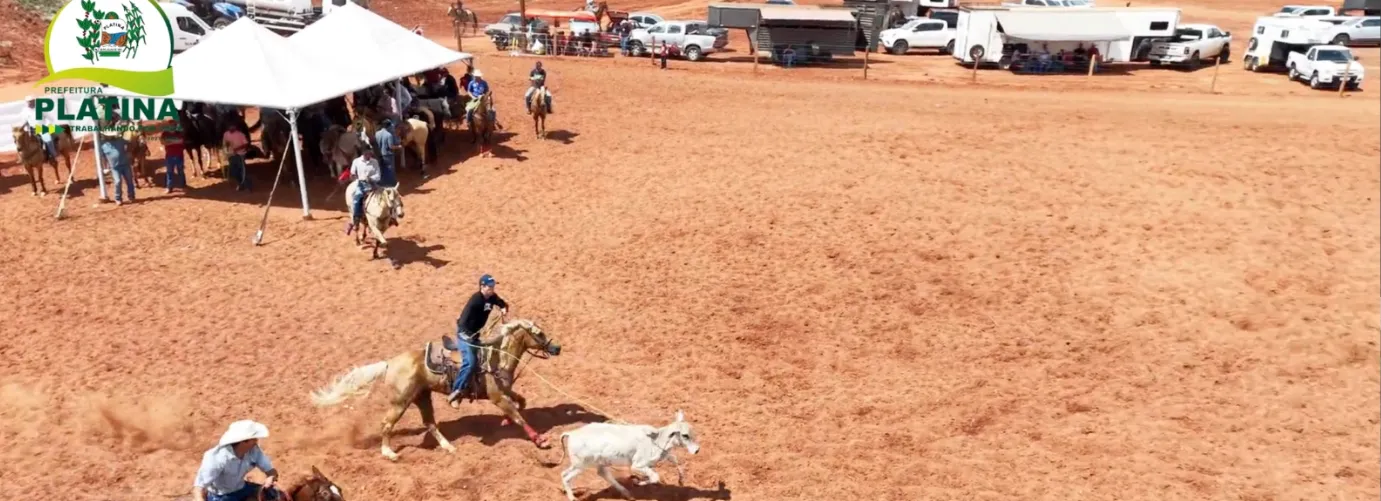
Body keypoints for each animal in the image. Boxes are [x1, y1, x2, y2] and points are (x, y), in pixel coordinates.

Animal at [308, 319, 563, 461]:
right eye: (539, 333)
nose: (557, 348)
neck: (496, 357)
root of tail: (390, 363)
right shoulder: (497, 396)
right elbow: (518, 415)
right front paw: (540, 440)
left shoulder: (506, 392)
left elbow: (522, 403)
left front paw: (505, 421)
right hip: (400, 402)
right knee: (387, 424)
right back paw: (389, 453)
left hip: (422, 397)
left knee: (430, 423)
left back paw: (448, 446)